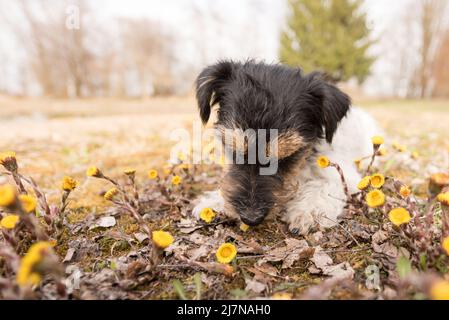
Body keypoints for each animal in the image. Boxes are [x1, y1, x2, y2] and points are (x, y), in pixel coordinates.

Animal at [192, 60, 378, 235]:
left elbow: (324, 186)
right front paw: (213, 201)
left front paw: (308, 211)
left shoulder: (344, 176)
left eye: (288, 156)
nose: (250, 218)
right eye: (233, 149)